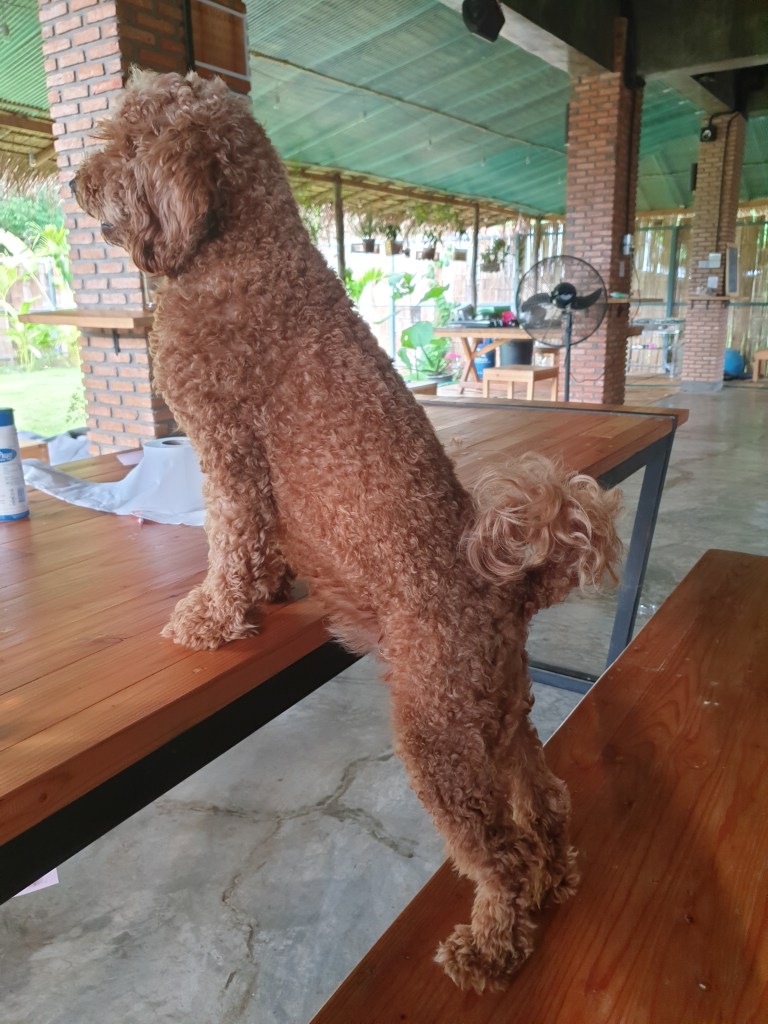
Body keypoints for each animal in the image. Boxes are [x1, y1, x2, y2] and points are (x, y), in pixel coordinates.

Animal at [74, 69, 621, 992]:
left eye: (128, 142)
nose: (77, 184)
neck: (242, 249)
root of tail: (506, 590)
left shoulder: (227, 444)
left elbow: (232, 536)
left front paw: (212, 617)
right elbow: (256, 541)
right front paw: (269, 592)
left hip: (437, 734)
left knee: (500, 855)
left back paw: (490, 947)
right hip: (497, 718)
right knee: (544, 804)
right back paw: (558, 877)